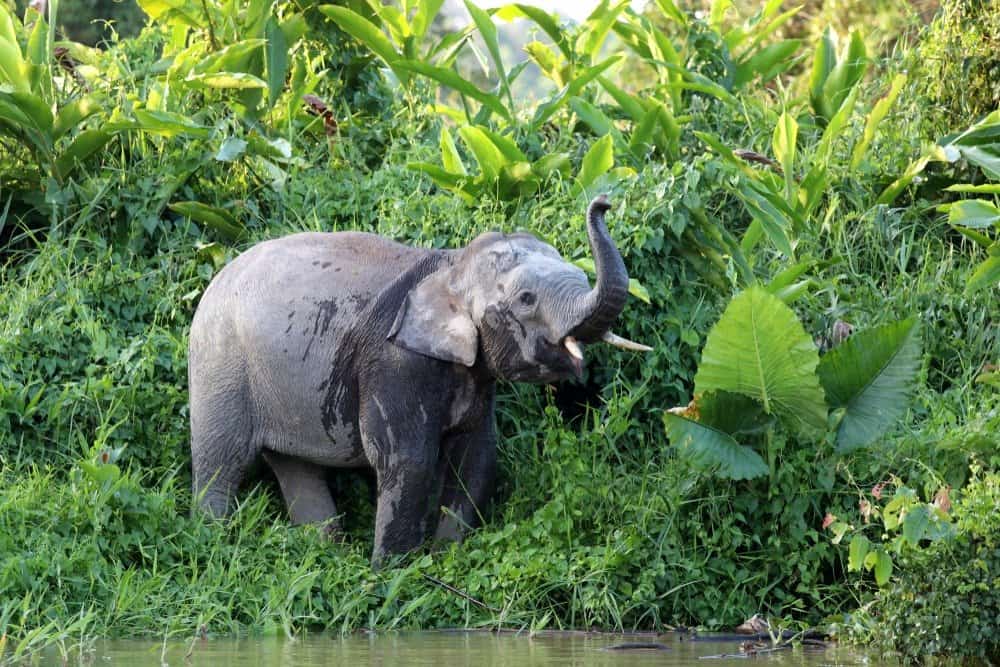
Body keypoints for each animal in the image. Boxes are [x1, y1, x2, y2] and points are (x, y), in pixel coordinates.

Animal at [188, 196, 652, 568]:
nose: (604, 201)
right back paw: (215, 542)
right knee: (222, 459)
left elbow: (477, 455)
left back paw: (324, 552)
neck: (452, 266)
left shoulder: (474, 374)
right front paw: (392, 576)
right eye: (526, 299)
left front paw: (446, 559)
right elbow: (407, 460)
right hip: (219, 365)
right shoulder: (396, 361)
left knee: (294, 465)